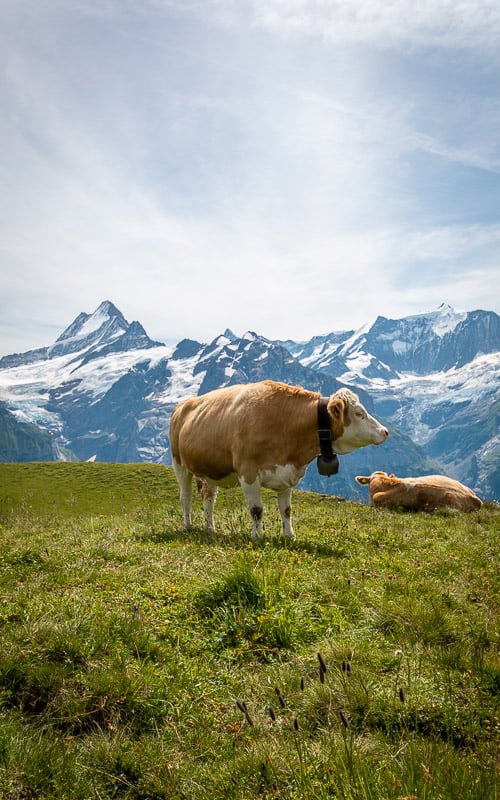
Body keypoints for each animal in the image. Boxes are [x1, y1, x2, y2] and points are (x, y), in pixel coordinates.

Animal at [169, 380, 389, 540]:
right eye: (359, 413)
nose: (385, 431)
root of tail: (182, 405)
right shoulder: (248, 472)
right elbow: (256, 510)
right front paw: (258, 537)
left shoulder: (287, 472)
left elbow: (286, 510)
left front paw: (289, 536)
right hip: (179, 464)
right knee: (185, 497)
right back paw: (188, 526)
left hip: (208, 470)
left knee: (208, 498)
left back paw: (210, 529)